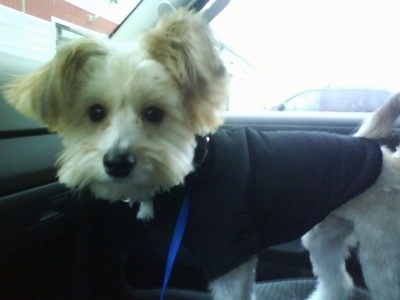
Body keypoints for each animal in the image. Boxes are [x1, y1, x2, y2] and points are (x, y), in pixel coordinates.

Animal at [2, 8, 400, 300]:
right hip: (324, 234)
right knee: (336, 278)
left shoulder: (230, 256)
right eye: (95, 112)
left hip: (381, 252)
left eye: (154, 113)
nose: (116, 163)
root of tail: (376, 150)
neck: (197, 167)